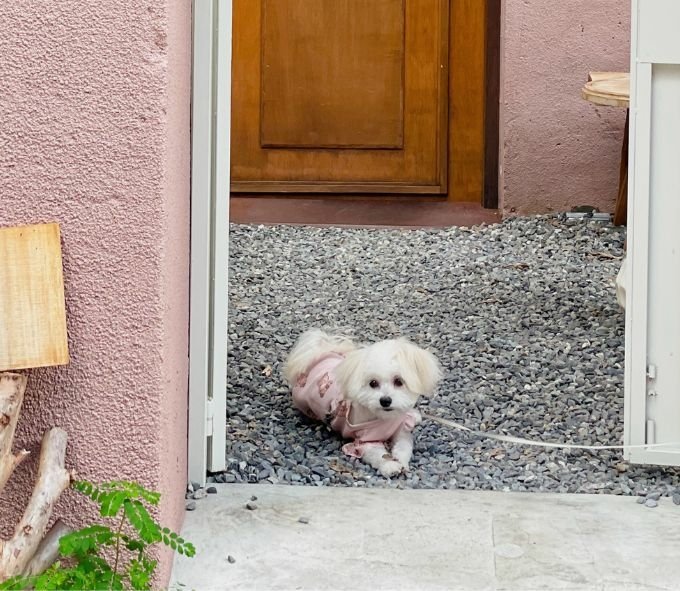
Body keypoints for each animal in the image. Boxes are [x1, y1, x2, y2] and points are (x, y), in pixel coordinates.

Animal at [282, 330, 440, 478]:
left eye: (398, 381)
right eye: (373, 383)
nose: (385, 400)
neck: (383, 419)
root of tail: (320, 356)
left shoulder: (401, 430)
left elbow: (403, 446)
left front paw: (400, 461)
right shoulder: (365, 442)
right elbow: (378, 454)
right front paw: (390, 466)